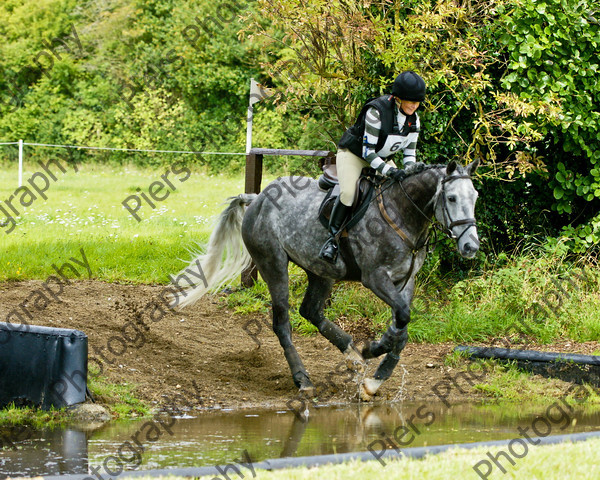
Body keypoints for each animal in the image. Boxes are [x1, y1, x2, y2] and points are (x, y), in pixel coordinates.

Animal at [172, 159, 478, 400]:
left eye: (474, 196)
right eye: (451, 198)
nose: (471, 246)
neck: (401, 213)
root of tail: (257, 198)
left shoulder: (406, 281)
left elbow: (402, 327)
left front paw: (373, 377)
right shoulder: (375, 278)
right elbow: (401, 317)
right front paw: (373, 350)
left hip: (320, 271)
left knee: (311, 311)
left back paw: (352, 354)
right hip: (273, 264)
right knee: (282, 323)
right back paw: (303, 379)